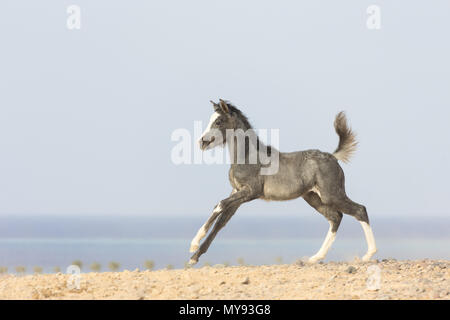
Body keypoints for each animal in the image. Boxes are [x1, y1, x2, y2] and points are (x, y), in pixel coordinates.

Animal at [188, 99, 378, 264]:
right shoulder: (237, 192)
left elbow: (219, 205)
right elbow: (221, 221)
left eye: (219, 121)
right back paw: (314, 258)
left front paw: (194, 244)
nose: (202, 142)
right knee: (335, 217)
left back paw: (368, 255)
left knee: (359, 210)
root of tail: (333, 156)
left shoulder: (251, 191)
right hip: (313, 197)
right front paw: (194, 257)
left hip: (331, 194)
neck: (247, 157)